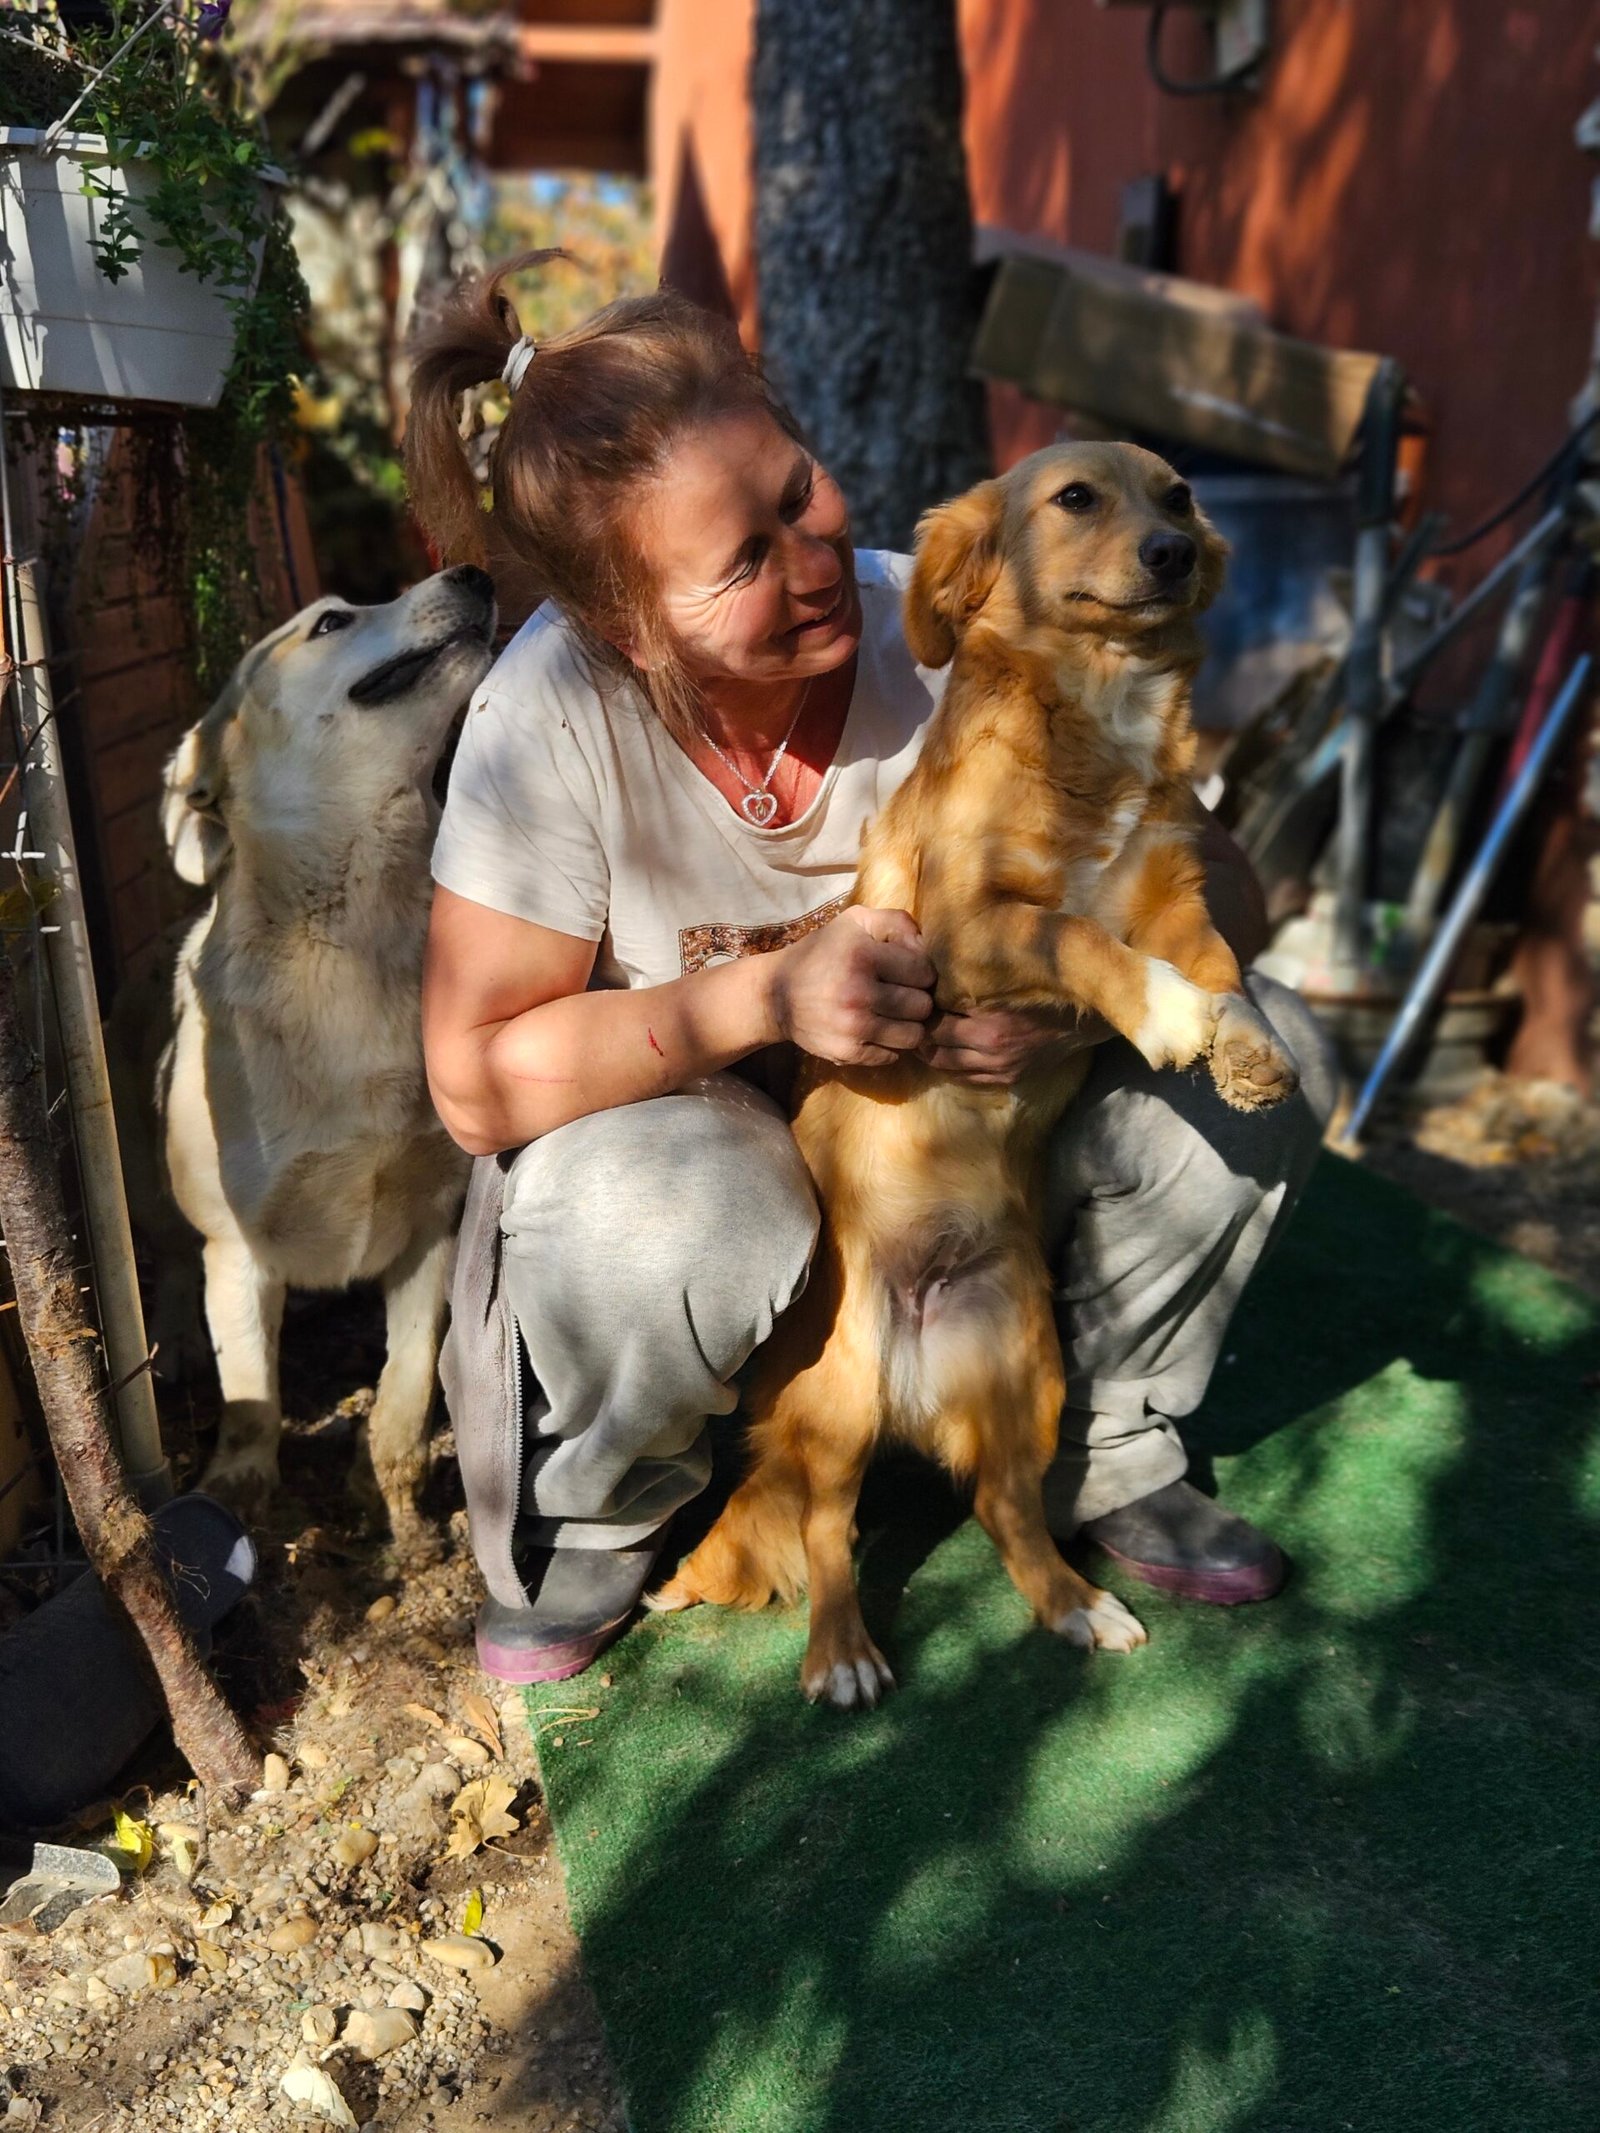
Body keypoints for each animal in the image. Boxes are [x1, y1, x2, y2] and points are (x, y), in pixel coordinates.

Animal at [159, 566, 496, 1561]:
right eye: (331, 621)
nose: (472, 572)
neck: (348, 936)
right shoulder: (235, 1251)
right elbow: (251, 1404)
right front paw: (237, 1503)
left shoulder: (429, 1222)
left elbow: (404, 1392)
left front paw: (400, 1513)